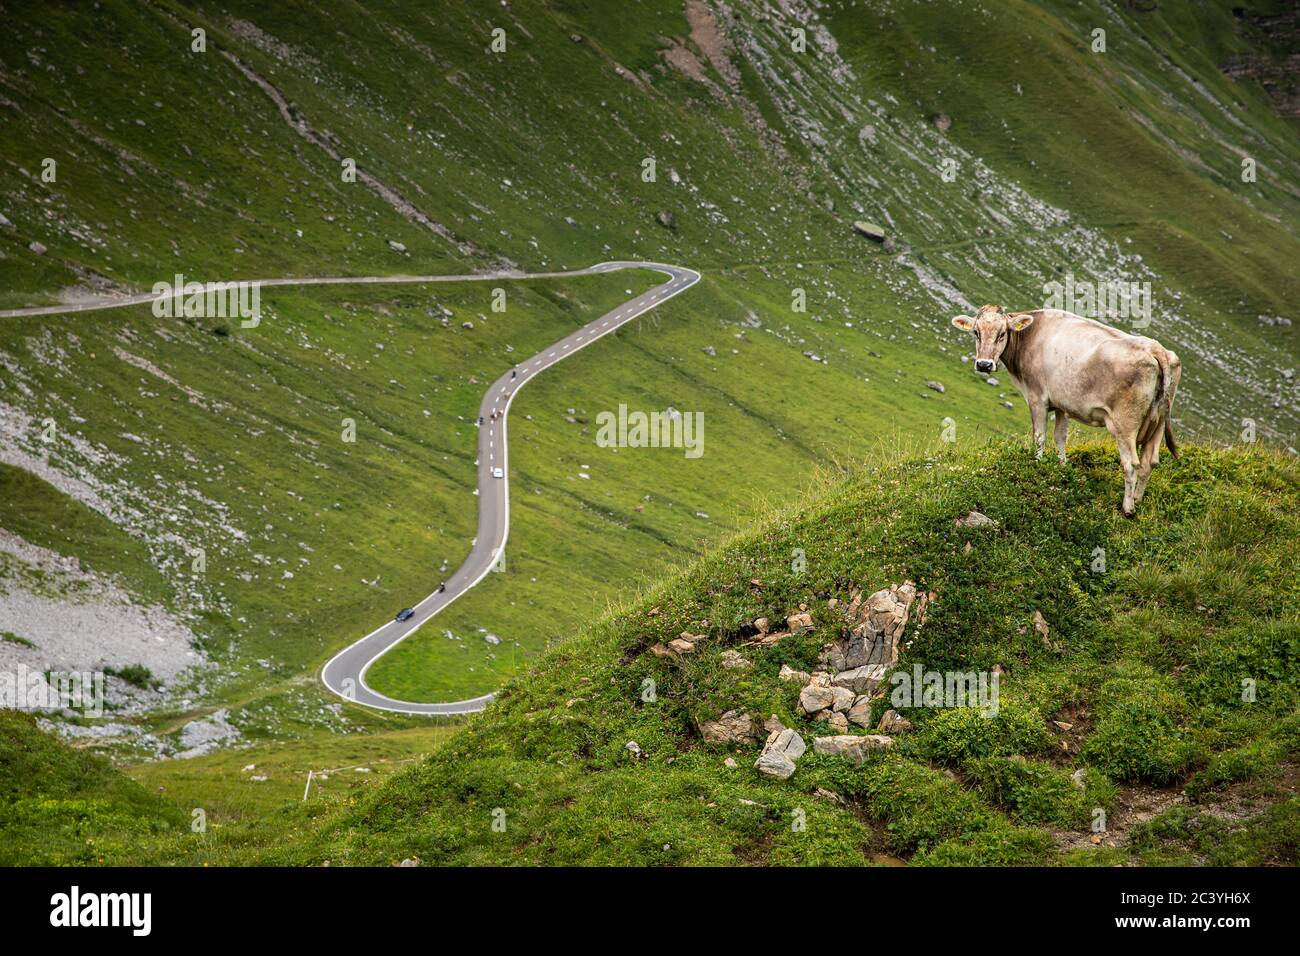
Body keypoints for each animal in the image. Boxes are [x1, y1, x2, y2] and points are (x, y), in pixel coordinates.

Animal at [951, 304, 1181, 516]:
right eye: (976, 332)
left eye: (1002, 334)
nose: (984, 364)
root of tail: (1156, 349)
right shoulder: (1062, 403)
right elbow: (1060, 436)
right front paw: (1061, 467)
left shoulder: (1037, 397)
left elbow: (1040, 437)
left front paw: (1037, 464)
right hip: (1159, 422)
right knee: (1150, 462)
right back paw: (1138, 500)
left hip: (1125, 423)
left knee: (1131, 463)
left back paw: (1128, 508)